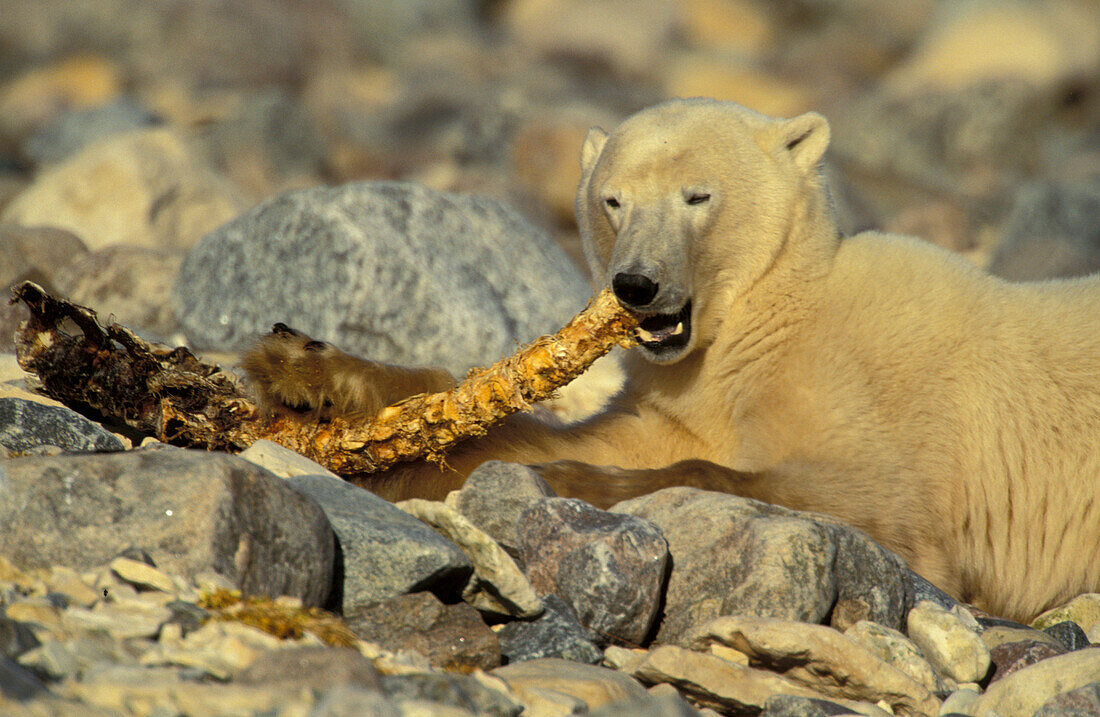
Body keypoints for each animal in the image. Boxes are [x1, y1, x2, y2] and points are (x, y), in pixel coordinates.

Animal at [247, 100, 1100, 620]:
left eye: (698, 196)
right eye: (613, 199)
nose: (637, 284)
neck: (768, 318)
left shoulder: (889, 419)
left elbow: (864, 500)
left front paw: (571, 484)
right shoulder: (679, 393)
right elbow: (551, 433)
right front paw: (310, 375)